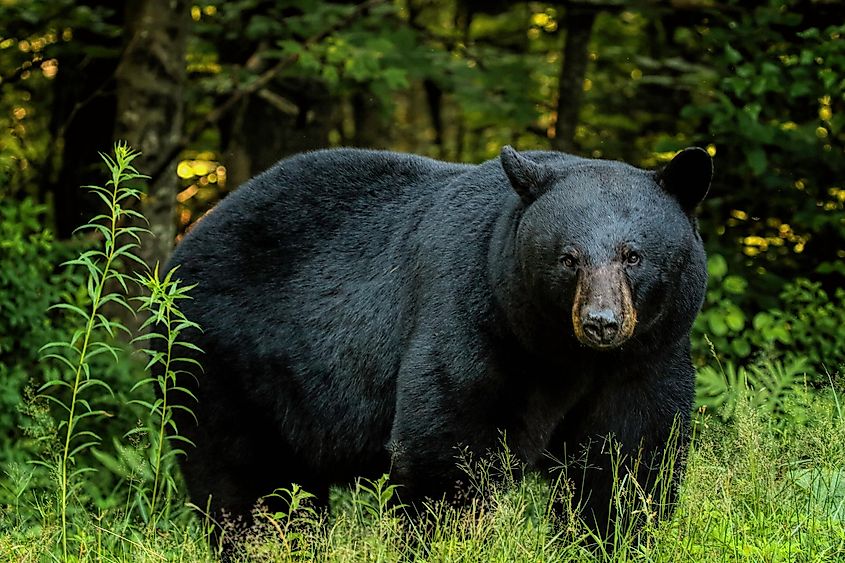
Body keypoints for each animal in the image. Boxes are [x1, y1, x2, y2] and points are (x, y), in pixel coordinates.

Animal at [163, 148, 704, 544]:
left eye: (633, 255)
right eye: (568, 258)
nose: (601, 323)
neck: (564, 355)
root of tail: (185, 245)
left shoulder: (646, 358)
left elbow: (626, 460)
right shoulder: (477, 322)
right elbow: (449, 448)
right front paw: (449, 537)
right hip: (227, 364)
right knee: (247, 483)